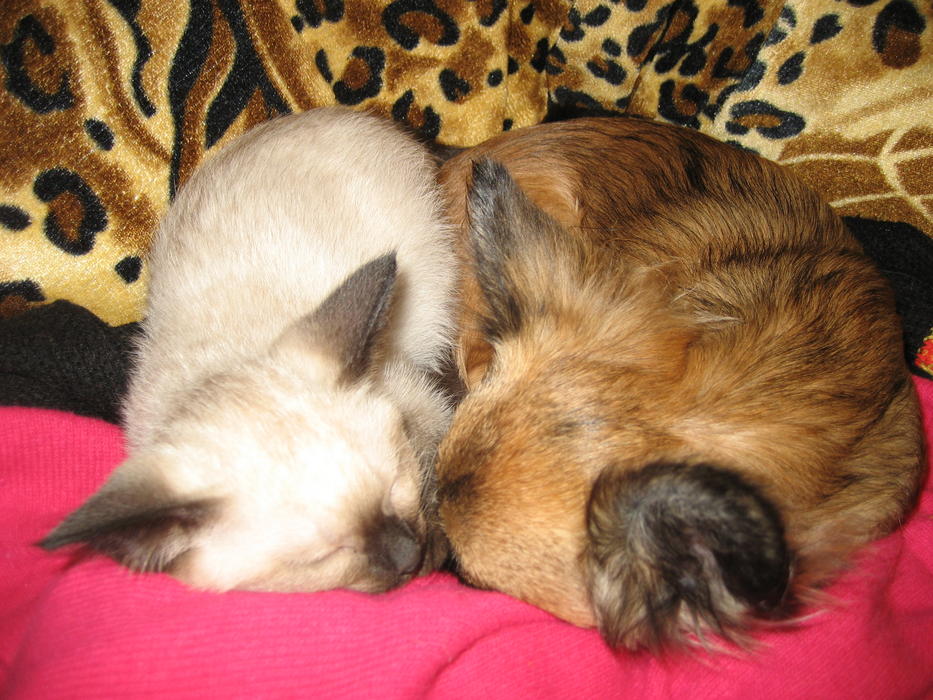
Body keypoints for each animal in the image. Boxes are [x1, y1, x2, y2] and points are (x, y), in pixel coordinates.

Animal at [41, 107, 458, 594]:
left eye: (396, 486)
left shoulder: (417, 404)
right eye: (322, 559)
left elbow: (435, 463)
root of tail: (352, 115)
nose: (408, 554)